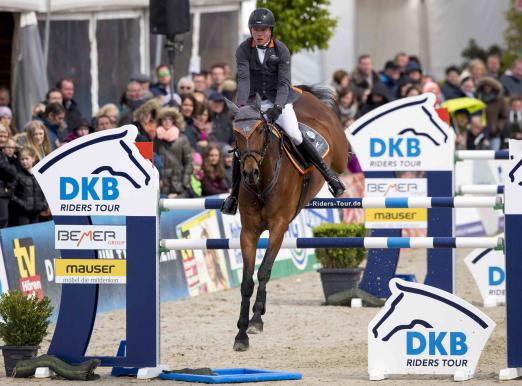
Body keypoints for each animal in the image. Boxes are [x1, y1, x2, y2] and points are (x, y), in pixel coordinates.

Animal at [222, 86, 348, 352]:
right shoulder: (248, 233)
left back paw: (337, 182)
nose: (249, 173)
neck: (262, 182)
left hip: (340, 155)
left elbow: (264, 272)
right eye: (236, 134)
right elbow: (247, 281)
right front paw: (241, 334)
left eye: (260, 130)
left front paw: (256, 320)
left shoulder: (278, 227)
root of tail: (304, 93)